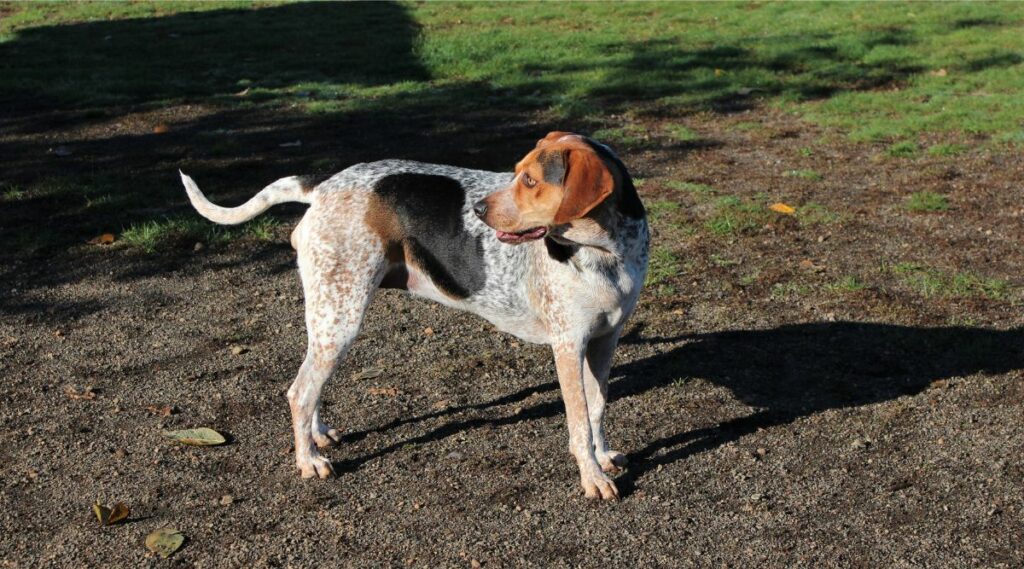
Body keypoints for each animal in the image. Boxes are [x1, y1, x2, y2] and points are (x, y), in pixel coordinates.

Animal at [180, 132, 647, 497]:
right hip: (342, 319)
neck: (606, 250)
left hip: (330, 322)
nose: (476, 211)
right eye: (517, 173)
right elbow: (579, 423)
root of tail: (326, 184)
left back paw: (316, 435)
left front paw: (603, 457)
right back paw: (307, 460)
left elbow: (597, 407)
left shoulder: (604, 340)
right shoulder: (567, 346)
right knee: (299, 391)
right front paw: (592, 477)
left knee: (310, 385)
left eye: (530, 180)